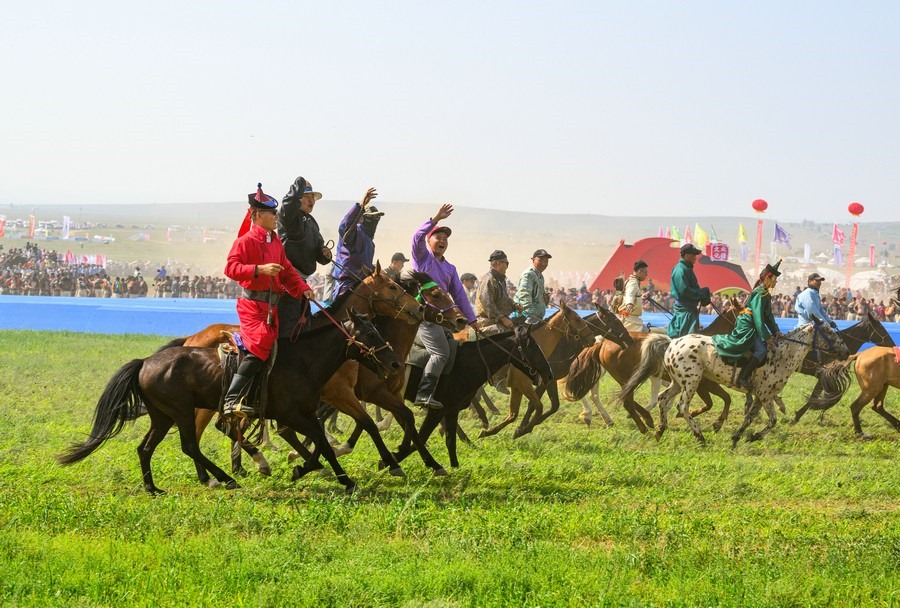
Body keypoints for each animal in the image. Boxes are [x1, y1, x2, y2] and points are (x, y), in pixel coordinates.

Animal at [58, 310, 401, 495]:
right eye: (370, 333)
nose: (396, 362)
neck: (302, 361)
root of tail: (145, 362)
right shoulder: (293, 414)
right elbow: (323, 445)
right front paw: (345, 480)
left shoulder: (306, 413)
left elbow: (320, 444)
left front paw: (304, 469)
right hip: (182, 412)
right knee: (189, 445)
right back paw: (224, 479)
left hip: (163, 416)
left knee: (146, 448)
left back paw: (154, 489)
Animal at [390, 324, 553, 469]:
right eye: (534, 347)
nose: (550, 374)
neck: (465, 363)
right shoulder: (437, 411)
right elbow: (421, 439)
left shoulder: (452, 411)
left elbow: (450, 442)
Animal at [477, 300, 596, 439]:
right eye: (577, 318)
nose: (592, 339)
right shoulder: (524, 384)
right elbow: (538, 406)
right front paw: (523, 429)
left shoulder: (519, 386)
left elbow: (514, 414)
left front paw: (492, 432)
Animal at [566, 300, 742, 433]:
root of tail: (603, 342)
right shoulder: (704, 384)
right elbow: (718, 400)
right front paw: (712, 421)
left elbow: (721, 399)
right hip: (623, 377)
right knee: (621, 399)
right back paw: (642, 422)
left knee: (608, 396)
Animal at [620, 318, 847, 446]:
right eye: (829, 332)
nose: (846, 351)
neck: (782, 354)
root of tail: (673, 341)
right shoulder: (765, 394)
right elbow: (772, 420)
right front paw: (753, 437)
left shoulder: (760, 396)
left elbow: (749, 418)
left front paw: (738, 437)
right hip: (691, 382)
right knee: (682, 406)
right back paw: (699, 436)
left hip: (677, 382)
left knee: (662, 399)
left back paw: (659, 430)